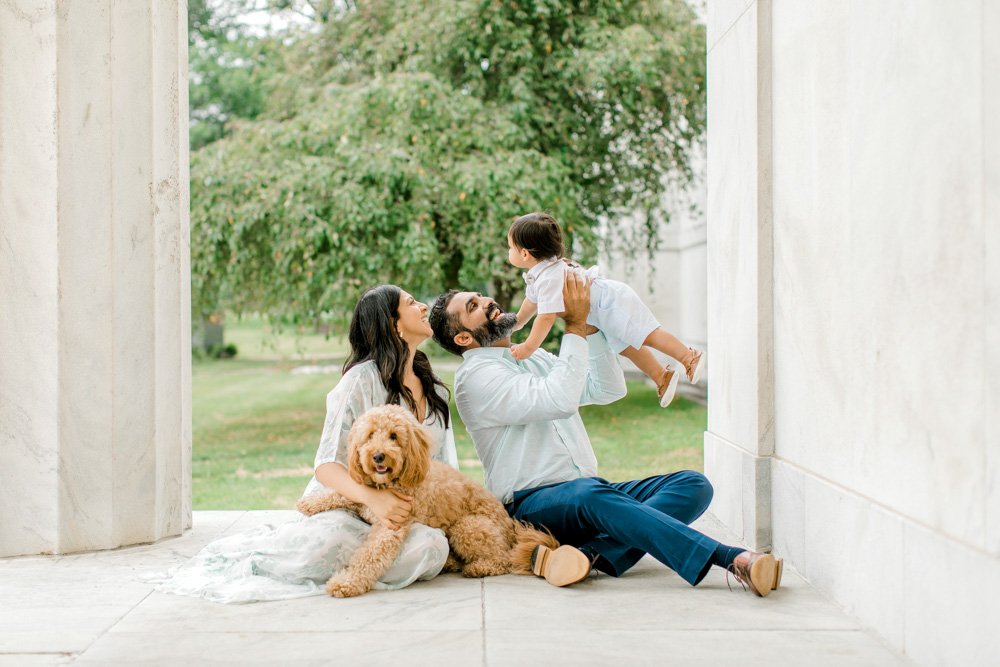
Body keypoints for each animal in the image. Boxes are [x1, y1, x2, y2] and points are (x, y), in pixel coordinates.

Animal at [294, 404, 564, 596]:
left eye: (393, 436)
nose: (378, 456)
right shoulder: (365, 495)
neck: (390, 484)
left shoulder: (390, 528)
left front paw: (346, 583)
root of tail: (511, 527)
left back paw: (478, 567)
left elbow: (369, 557)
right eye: (370, 435)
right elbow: (344, 492)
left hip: (469, 526)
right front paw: (311, 502)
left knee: (503, 559)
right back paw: (452, 563)